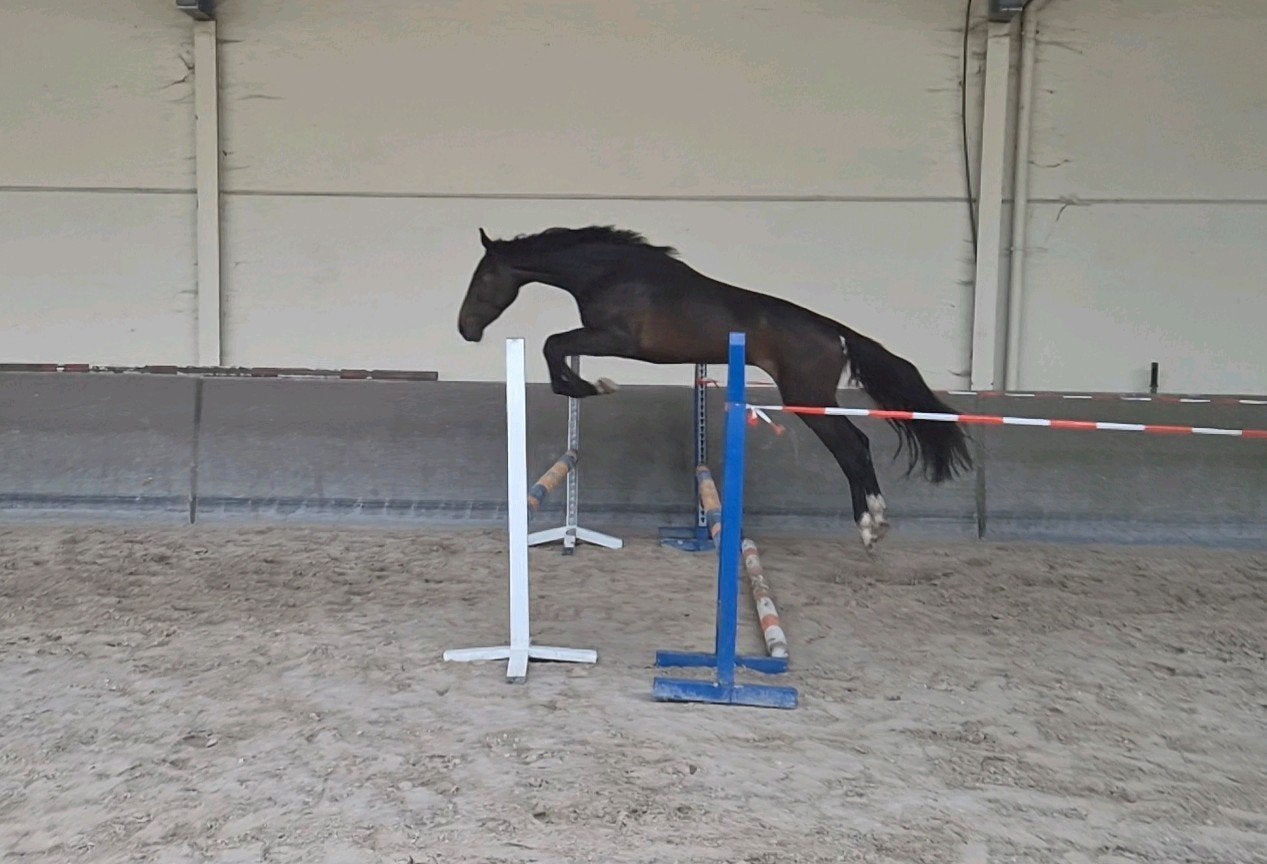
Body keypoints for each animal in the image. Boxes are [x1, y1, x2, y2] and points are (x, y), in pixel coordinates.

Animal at [457, 225, 971, 549]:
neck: (610, 272)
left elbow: (553, 346)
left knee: (854, 446)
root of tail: (835, 333)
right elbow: (556, 348)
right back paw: (876, 521)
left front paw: (594, 386)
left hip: (806, 399)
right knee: (857, 445)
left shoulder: (616, 339)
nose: (466, 330)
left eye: (483, 278)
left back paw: (869, 525)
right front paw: (591, 384)